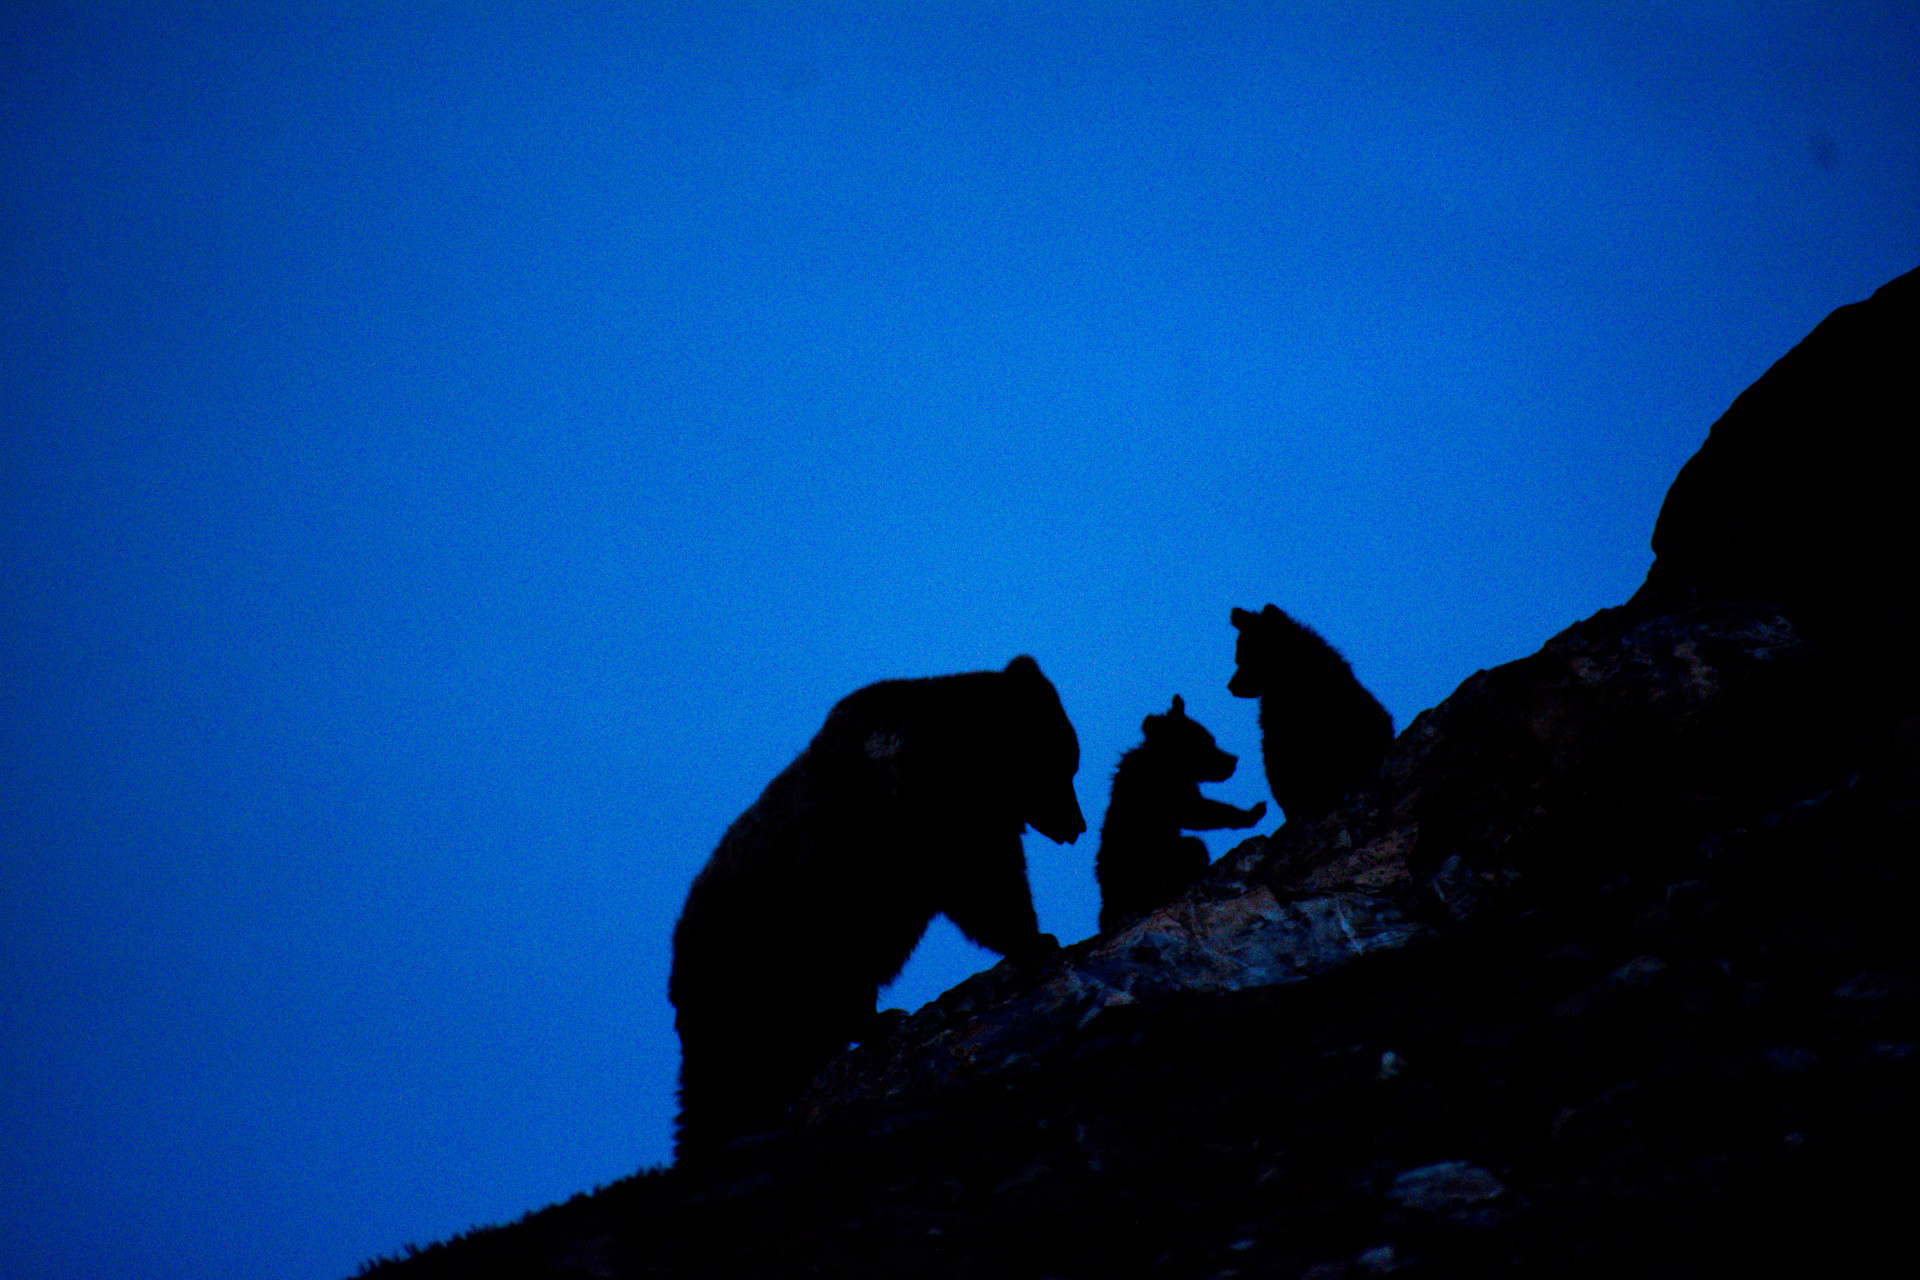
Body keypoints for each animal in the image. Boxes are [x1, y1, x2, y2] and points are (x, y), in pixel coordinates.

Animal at [667, 654, 1085, 1161]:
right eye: (1065, 763)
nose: (1078, 826)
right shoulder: (923, 827)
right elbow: (983, 890)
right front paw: (1034, 939)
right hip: (762, 962)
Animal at [1095, 694, 1267, 933]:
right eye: (1206, 743)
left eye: (1211, 738)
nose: (1233, 760)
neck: (1169, 764)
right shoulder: (1165, 792)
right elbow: (1198, 812)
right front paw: (1251, 813)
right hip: (1151, 858)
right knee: (1193, 849)